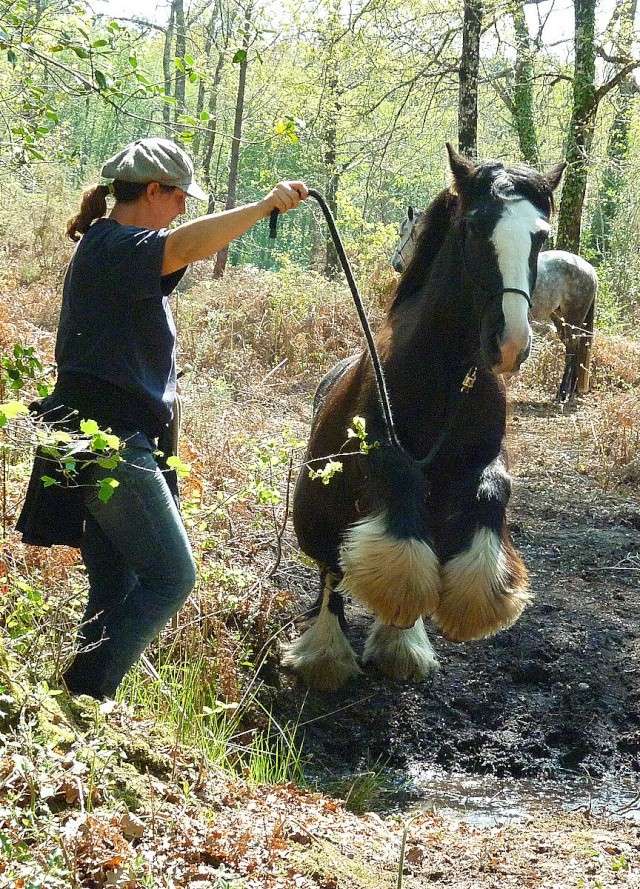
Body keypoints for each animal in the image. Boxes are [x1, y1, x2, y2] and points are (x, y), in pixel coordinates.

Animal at [288, 142, 564, 692]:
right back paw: (326, 655)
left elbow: (494, 490)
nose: (510, 343)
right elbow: (402, 483)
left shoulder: (484, 459)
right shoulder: (379, 449)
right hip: (318, 514)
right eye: (475, 226)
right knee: (332, 573)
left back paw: (400, 645)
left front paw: (480, 600)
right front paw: (402, 595)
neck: (446, 374)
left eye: (541, 235)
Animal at [392, 205, 596, 398]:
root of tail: (589, 269)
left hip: (572, 321)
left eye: (402, 233)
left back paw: (563, 393)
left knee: (573, 349)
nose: (396, 264)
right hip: (559, 318)